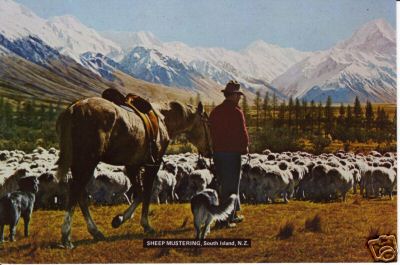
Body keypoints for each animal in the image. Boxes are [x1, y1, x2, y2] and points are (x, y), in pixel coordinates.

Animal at [57, 97, 212, 248]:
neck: (164, 119)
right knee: (76, 193)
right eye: (207, 121)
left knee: (81, 196)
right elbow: (146, 193)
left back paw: (95, 232)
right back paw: (66, 237)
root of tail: (75, 108)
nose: (209, 152)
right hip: (87, 162)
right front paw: (145, 225)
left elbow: (140, 193)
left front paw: (119, 219)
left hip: (79, 165)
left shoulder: (132, 166)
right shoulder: (153, 165)